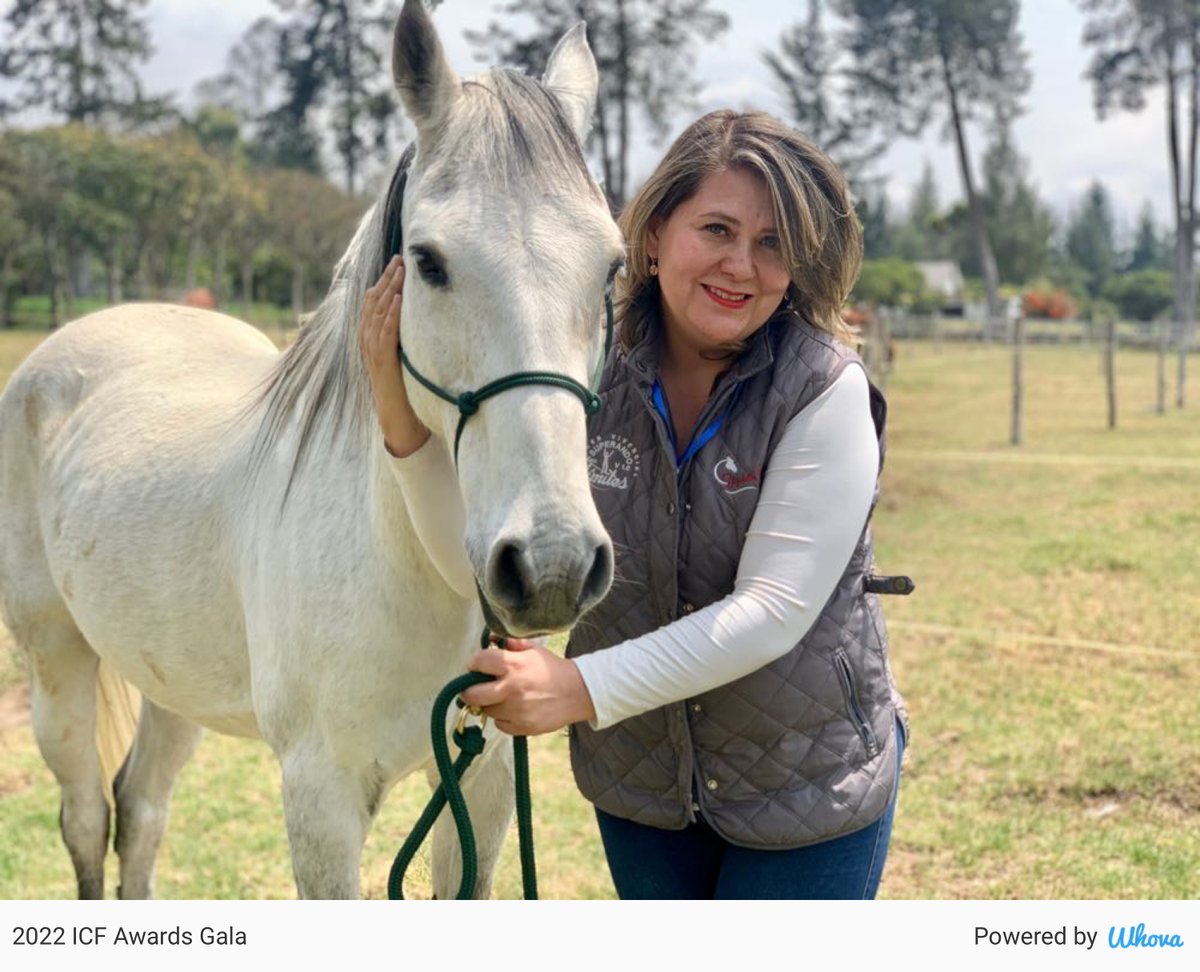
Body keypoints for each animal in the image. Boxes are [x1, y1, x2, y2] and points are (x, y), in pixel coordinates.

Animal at [0, 0, 623, 899]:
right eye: (428, 262)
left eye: (610, 267)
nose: (552, 568)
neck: (406, 556)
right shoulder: (321, 798)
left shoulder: (484, 781)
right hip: (57, 666)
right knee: (86, 818)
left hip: (171, 682)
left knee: (142, 812)